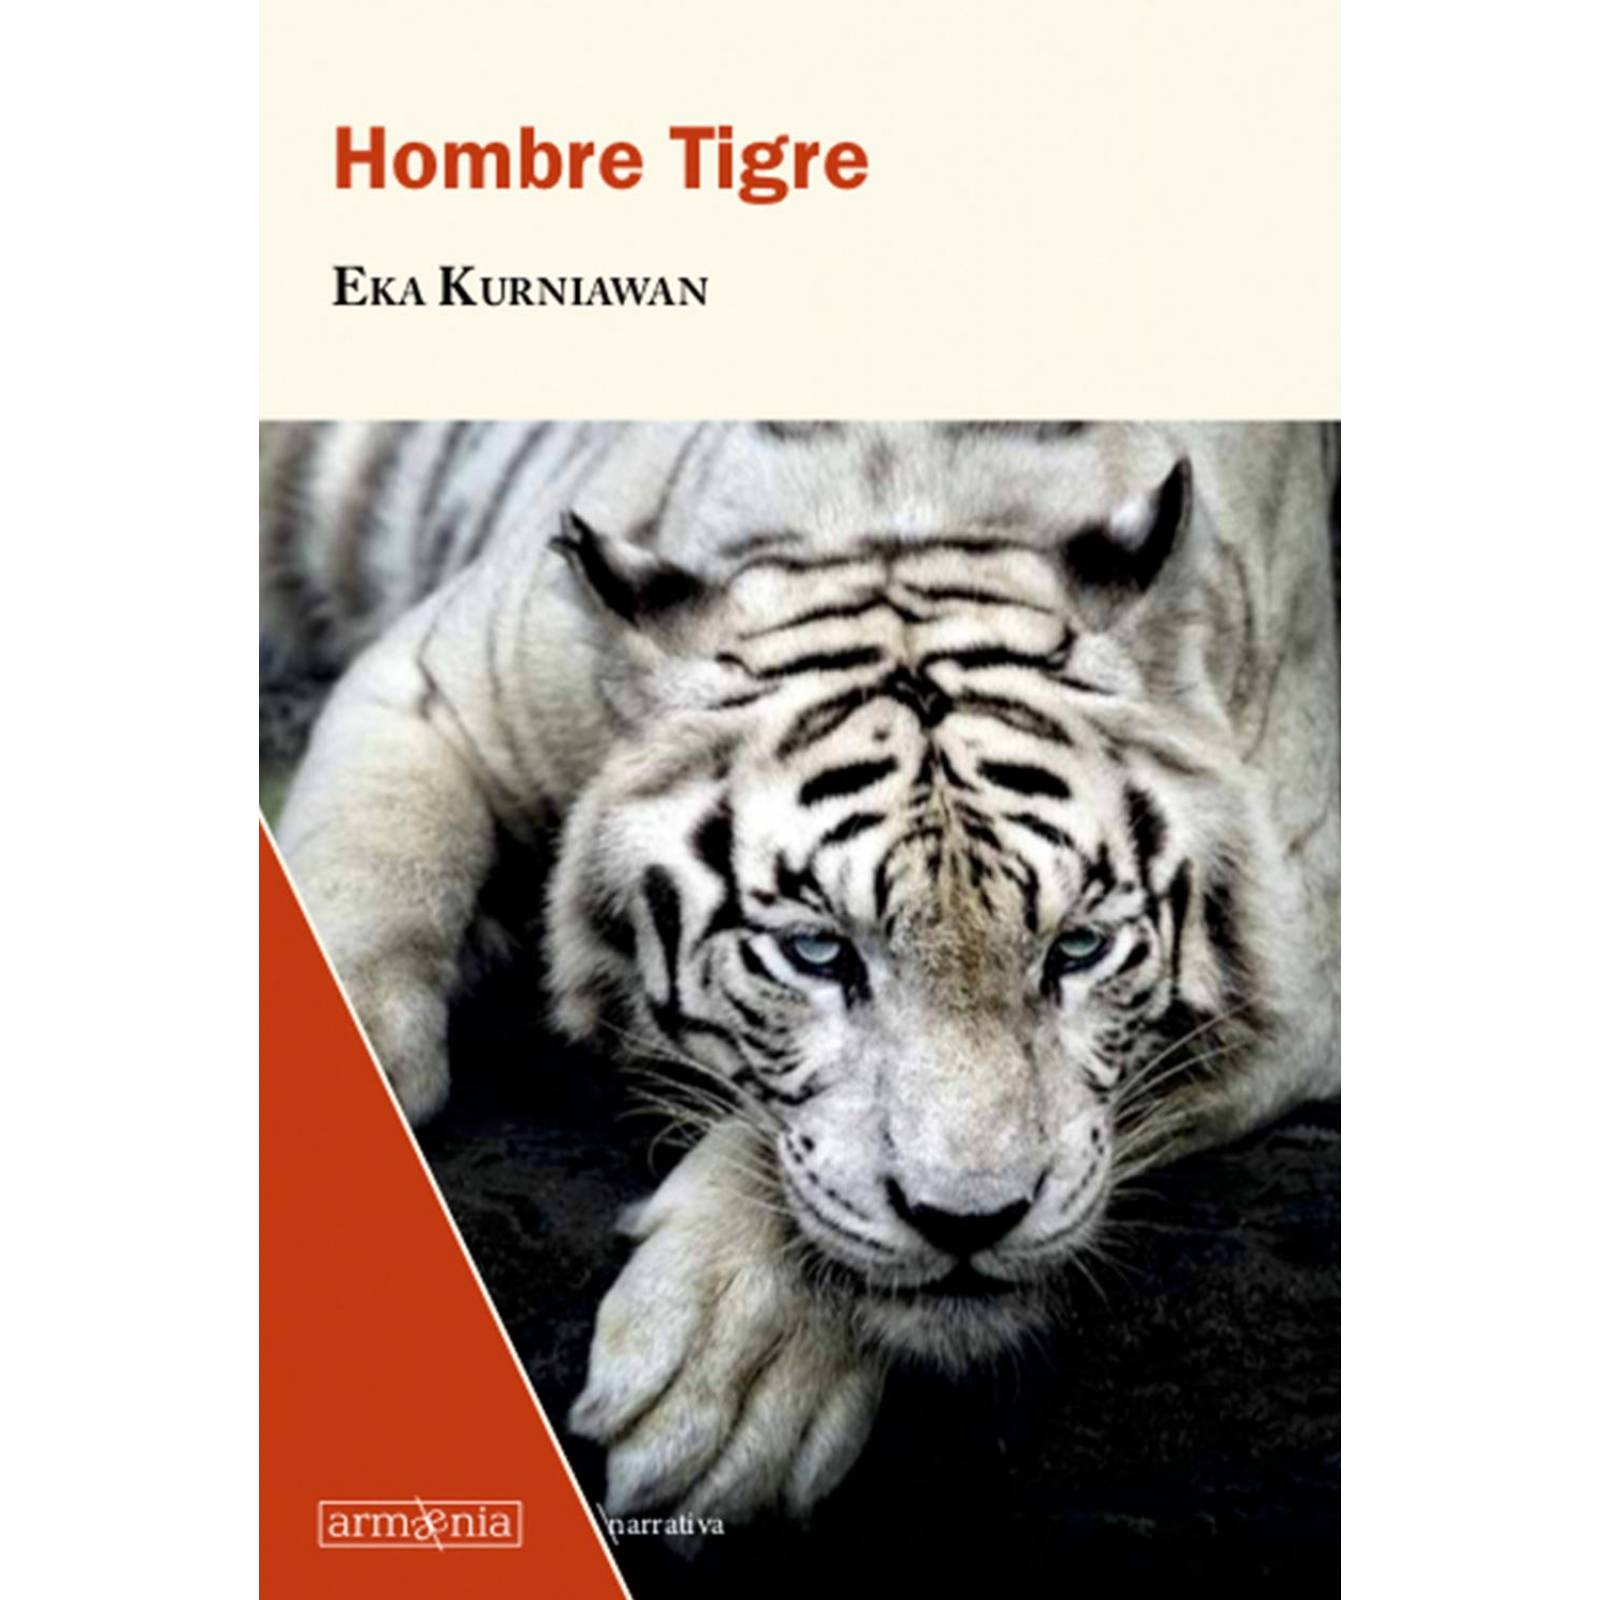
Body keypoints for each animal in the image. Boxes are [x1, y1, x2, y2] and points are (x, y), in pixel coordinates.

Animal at [262, 420, 1340, 1527]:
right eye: (817, 950)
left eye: (1076, 948)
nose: (970, 1222)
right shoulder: (435, 680)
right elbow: (365, 870)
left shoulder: (1304, 948)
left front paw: (724, 1370)